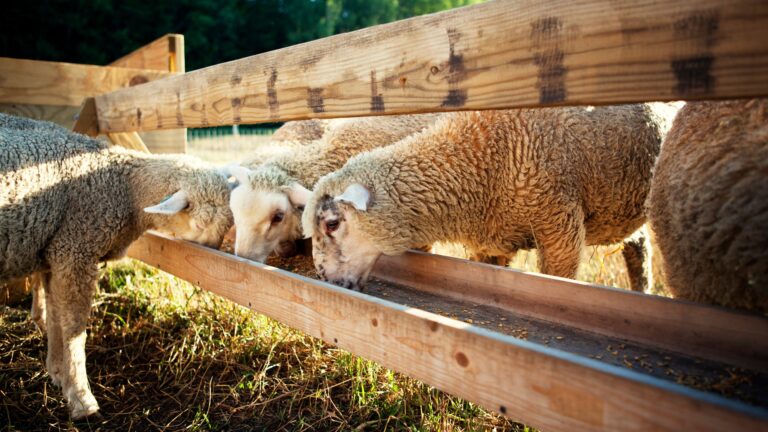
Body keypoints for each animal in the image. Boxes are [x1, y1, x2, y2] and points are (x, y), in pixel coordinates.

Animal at [0, 113, 234, 418]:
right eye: (200, 224)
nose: (216, 257)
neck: (122, 186)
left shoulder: (56, 252)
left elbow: (55, 319)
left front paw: (57, 372)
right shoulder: (76, 251)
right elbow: (74, 329)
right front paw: (81, 398)